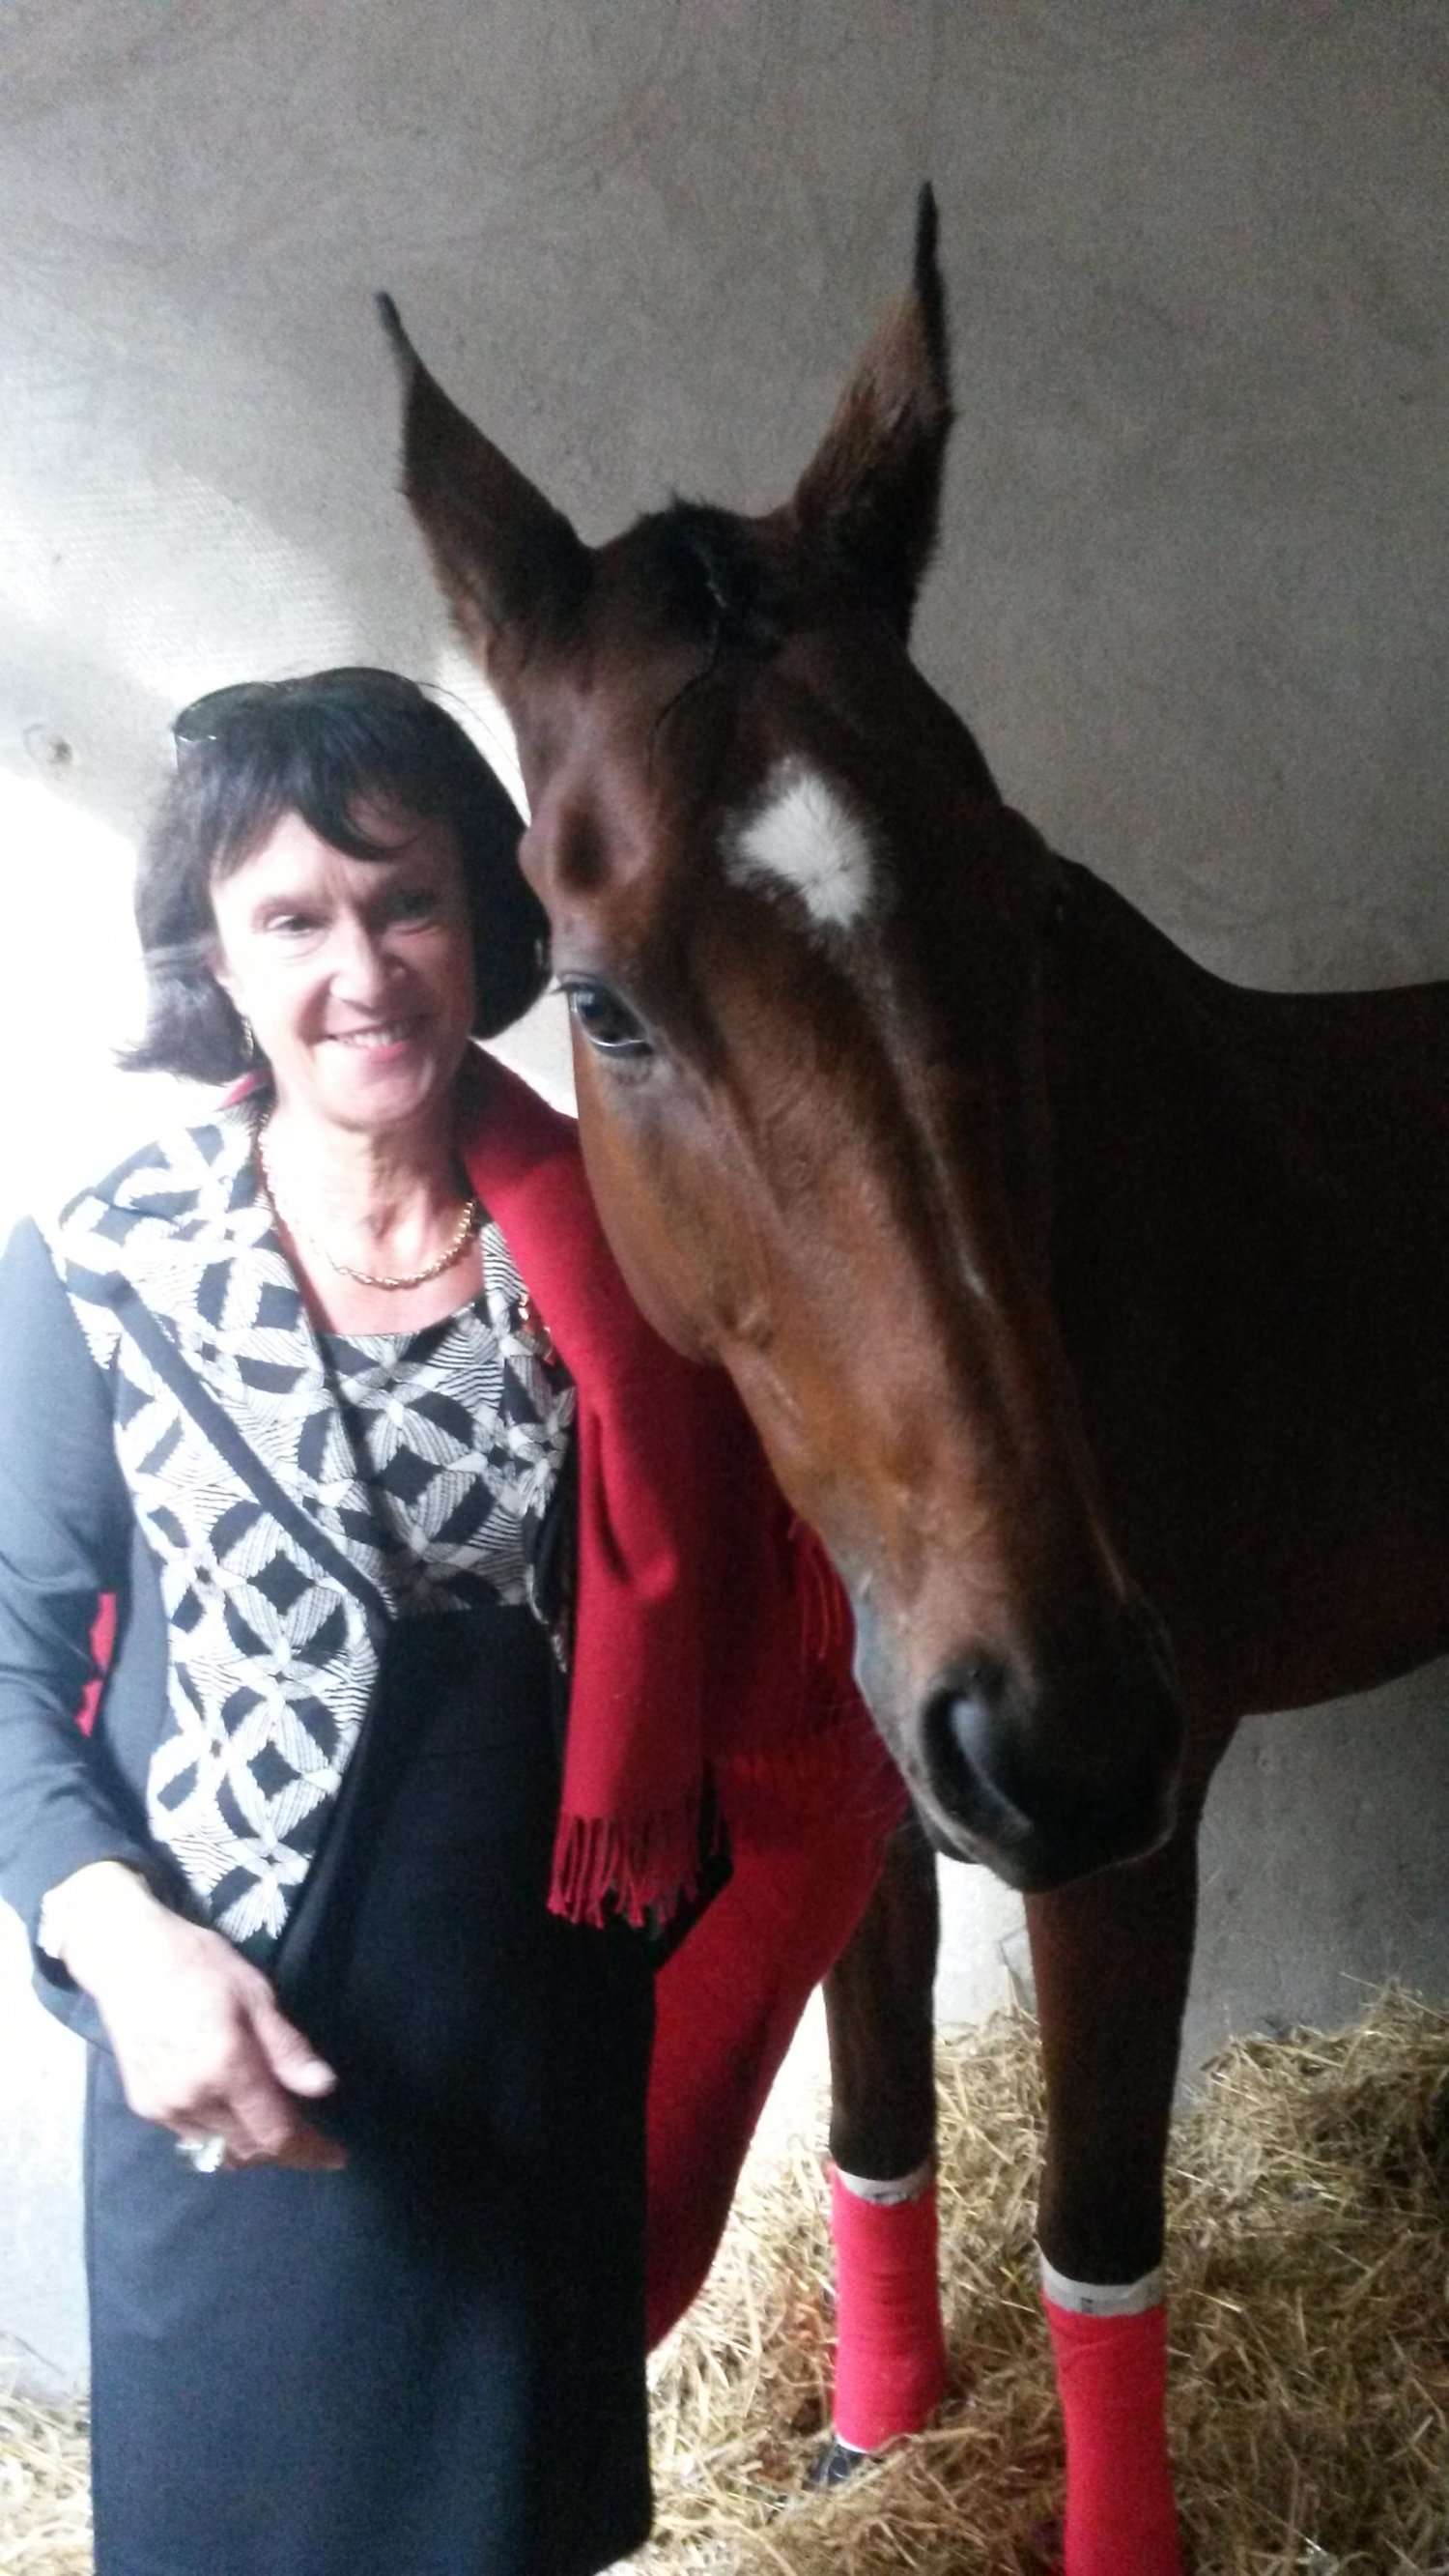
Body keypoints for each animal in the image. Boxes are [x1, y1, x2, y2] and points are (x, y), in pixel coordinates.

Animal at [378, 194, 1449, 2572]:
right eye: (605, 1000)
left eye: (1026, 908)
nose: (1062, 1722)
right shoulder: (879, 1788)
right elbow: (878, 2125)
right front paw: (875, 2439)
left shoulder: (1132, 1842)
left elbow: (1098, 2234)